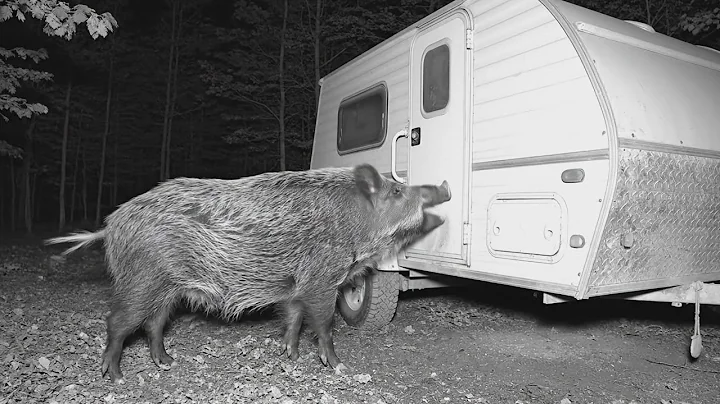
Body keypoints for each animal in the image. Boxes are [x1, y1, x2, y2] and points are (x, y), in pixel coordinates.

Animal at [45, 163, 451, 384]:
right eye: (397, 191)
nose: (444, 186)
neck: (353, 226)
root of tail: (110, 225)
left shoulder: (294, 288)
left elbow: (293, 320)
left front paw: (289, 357)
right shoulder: (321, 280)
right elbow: (323, 324)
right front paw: (338, 366)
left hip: (169, 289)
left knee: (154, 324)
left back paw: (168, 363)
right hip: (141, 279)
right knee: (117, 322)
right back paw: (116, 376)